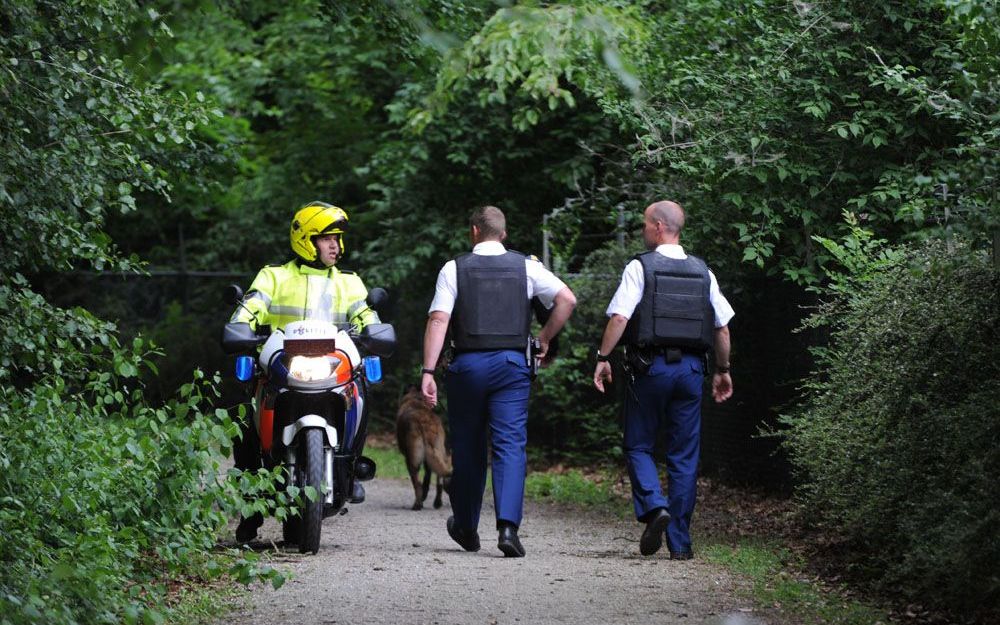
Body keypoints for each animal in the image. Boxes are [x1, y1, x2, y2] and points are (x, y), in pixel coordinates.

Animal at [396, 382, 452, 510]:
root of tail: (426, 424)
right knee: (439, 479)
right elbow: (428, 475)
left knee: (416, 483)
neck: (416, 399)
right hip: (439, 450)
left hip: (413, 459)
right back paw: (437, 502)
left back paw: (418, 504)